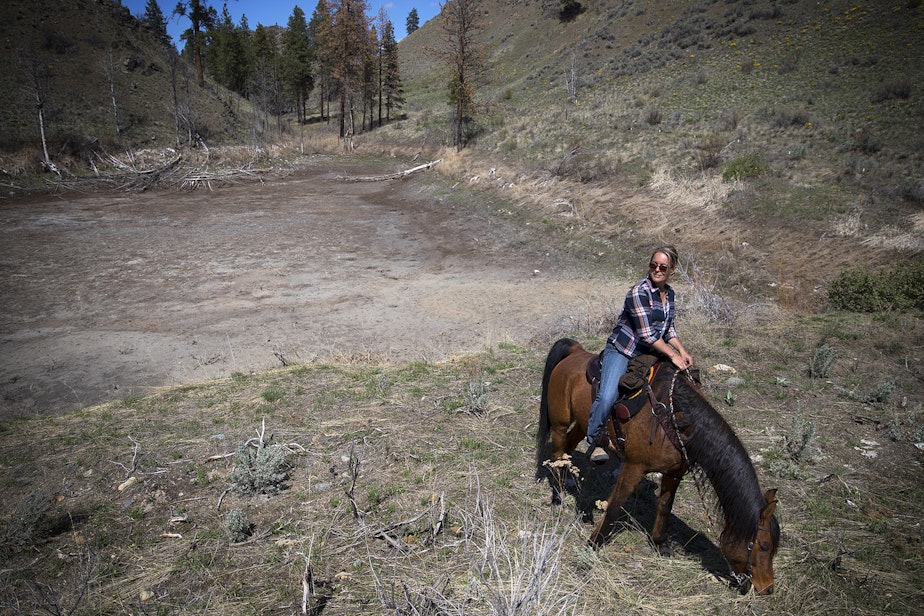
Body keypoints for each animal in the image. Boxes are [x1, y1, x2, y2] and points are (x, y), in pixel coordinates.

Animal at [536, 340, 780, 596]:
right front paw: (593, 543)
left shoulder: (674, 472)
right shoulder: (633, 466)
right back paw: (556, 496)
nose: (767, 588)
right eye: (763, 546)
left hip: (582, 425)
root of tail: (576, 351)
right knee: (556, 454)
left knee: (567, 450)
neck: (676, 419)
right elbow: (614, 506)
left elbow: (664, 506)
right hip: (560, 424)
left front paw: (660, 544)